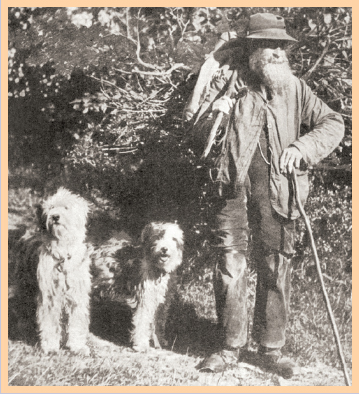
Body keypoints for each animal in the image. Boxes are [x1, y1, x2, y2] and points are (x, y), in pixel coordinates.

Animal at [13, 187, 93, 354]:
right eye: (51, 208)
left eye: (66, 208)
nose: (55, 216)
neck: (63, 253)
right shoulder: (49, 296)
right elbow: (49, 322)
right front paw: (50, 346)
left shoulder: (77, 296)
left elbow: (76, 322)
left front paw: (77, 346)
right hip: (24, 285)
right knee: (21, 306)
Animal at [90, 222, 186, 350]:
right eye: (158, 236)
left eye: (174, 239)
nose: (164, 249)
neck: (158, 270)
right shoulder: (144, 301)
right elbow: (142, 323)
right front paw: (141, 345)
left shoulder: (162, 303)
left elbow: (158, 323)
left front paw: (159, 341)